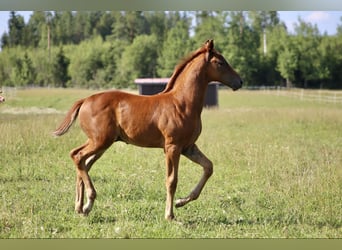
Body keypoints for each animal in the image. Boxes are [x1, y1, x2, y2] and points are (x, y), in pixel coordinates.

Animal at [53, 39, 242, 221]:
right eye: (220, 62)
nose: (239, 82)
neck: (182, 103)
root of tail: (84, 100)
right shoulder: (172, 147)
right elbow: (172, 180)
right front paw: (170, 215)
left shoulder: (188, 147)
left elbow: (208, 167)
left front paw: (181, 202)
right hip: (100, 141)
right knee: (78, 156)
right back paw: (88, 202)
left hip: (99, 142)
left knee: (82, 162)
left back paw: (81, 207)